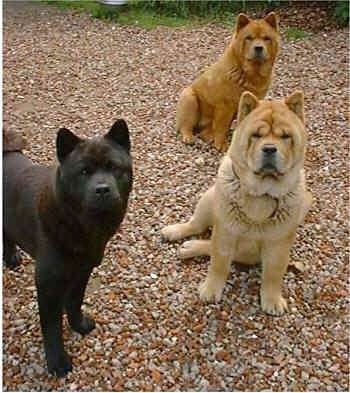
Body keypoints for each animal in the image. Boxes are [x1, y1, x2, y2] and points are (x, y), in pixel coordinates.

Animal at [3, 120, 133, 376]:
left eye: (114, 167)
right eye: (83, 172)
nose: (102, 189)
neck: (81, 225)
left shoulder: (82, 271)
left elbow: (74, 302)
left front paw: (79, 326)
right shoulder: (48, 284)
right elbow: (52, 326)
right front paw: (58, 363)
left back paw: (11, 258)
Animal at [163, 90, 314, 314]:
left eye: (286, 137)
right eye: (256, 135)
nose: (270, 149)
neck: (261, 194)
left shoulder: (278, 244)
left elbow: (274, 273)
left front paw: (272, 300)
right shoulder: (226, 232)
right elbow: (218, 263)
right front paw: (210, 290)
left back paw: (189, 248)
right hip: (209, 199)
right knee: (197, 226)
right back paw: (176, 233)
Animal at [176, 10, 280, 152]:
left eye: (266, 38)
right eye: (249, 38)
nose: (258, 47)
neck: (250, 74)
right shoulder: (225, 105)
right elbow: (221, 127)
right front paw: (221, 144)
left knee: (204, 132)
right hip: (189, 97)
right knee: (186, 125)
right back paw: (189, 137)